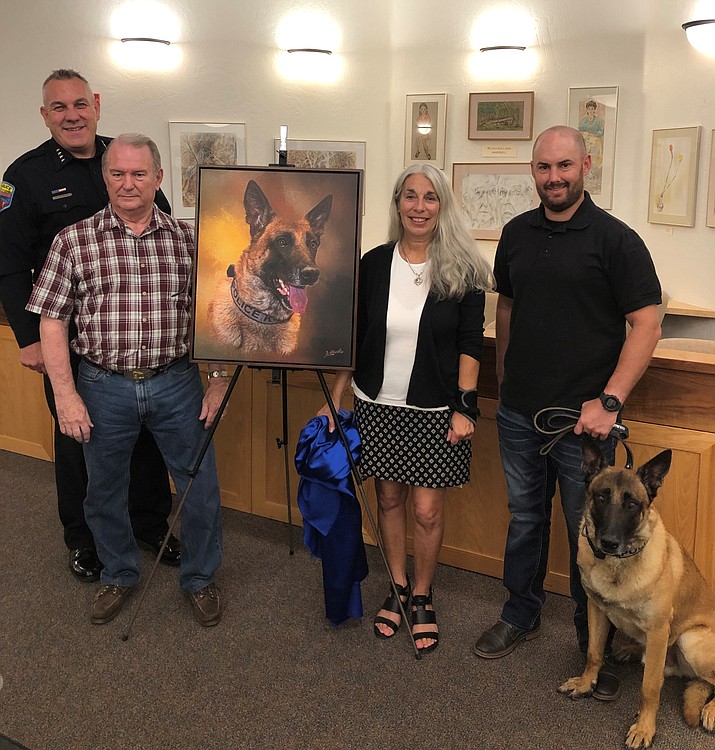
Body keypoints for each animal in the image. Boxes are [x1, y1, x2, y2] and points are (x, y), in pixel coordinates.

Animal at [560, 438, 715, 748]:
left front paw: (644, 728)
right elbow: (594, 653)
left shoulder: (658, 630)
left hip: (691, 640)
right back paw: (630, 651)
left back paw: (711, 710)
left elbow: (649, 687)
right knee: (665, 666)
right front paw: (585, 683)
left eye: (632, 504)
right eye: (601, 497)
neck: (618, 563)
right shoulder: (597, 610)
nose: (608, 543)